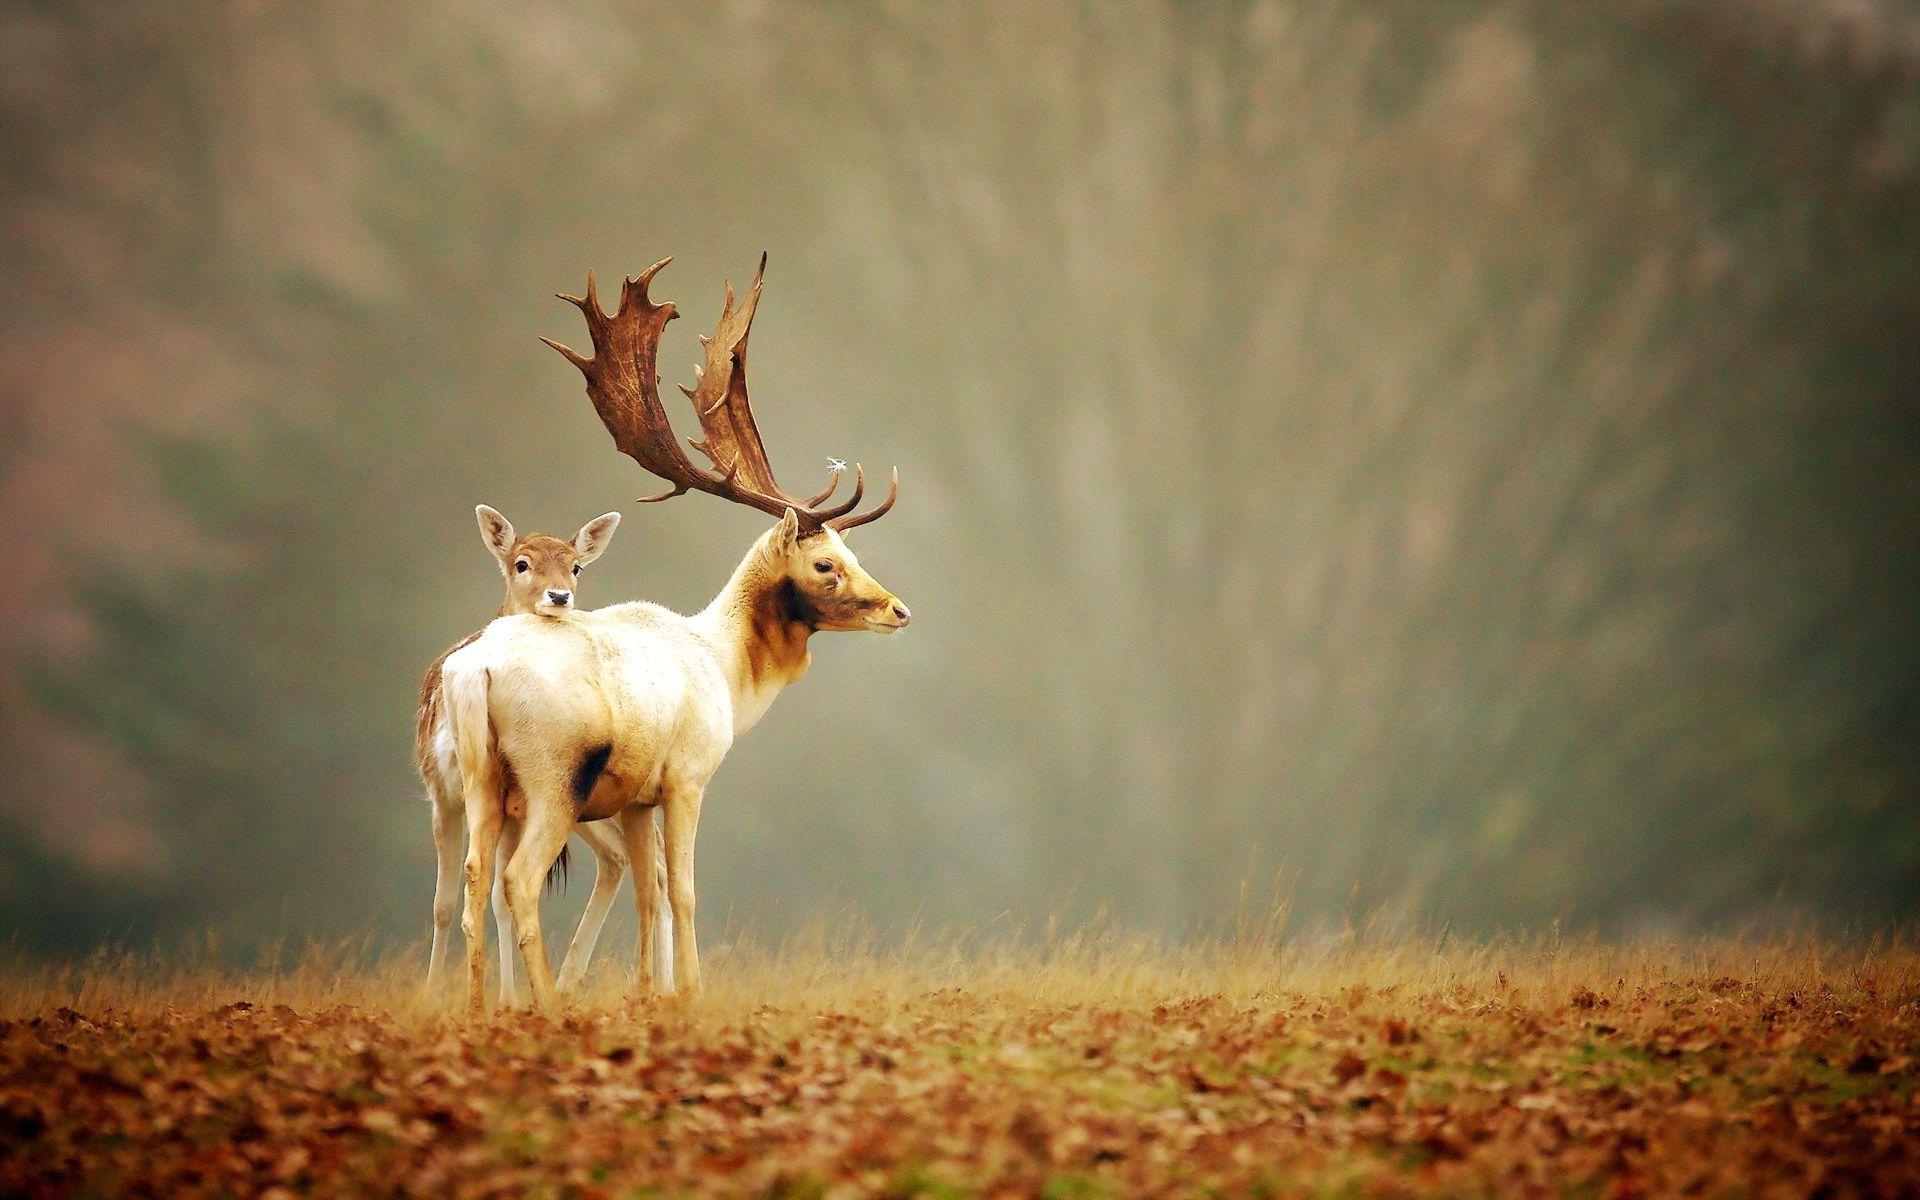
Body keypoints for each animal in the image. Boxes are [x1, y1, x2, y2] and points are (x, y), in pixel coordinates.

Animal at [417, 505, 672, 1004]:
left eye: (576, 566)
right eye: (522, 563)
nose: (559, 595)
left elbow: (489, 896)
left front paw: (506, 999)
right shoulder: (441, 792)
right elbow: (445, 902)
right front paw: (442, 994)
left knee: (648, 865)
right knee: (628, 861)